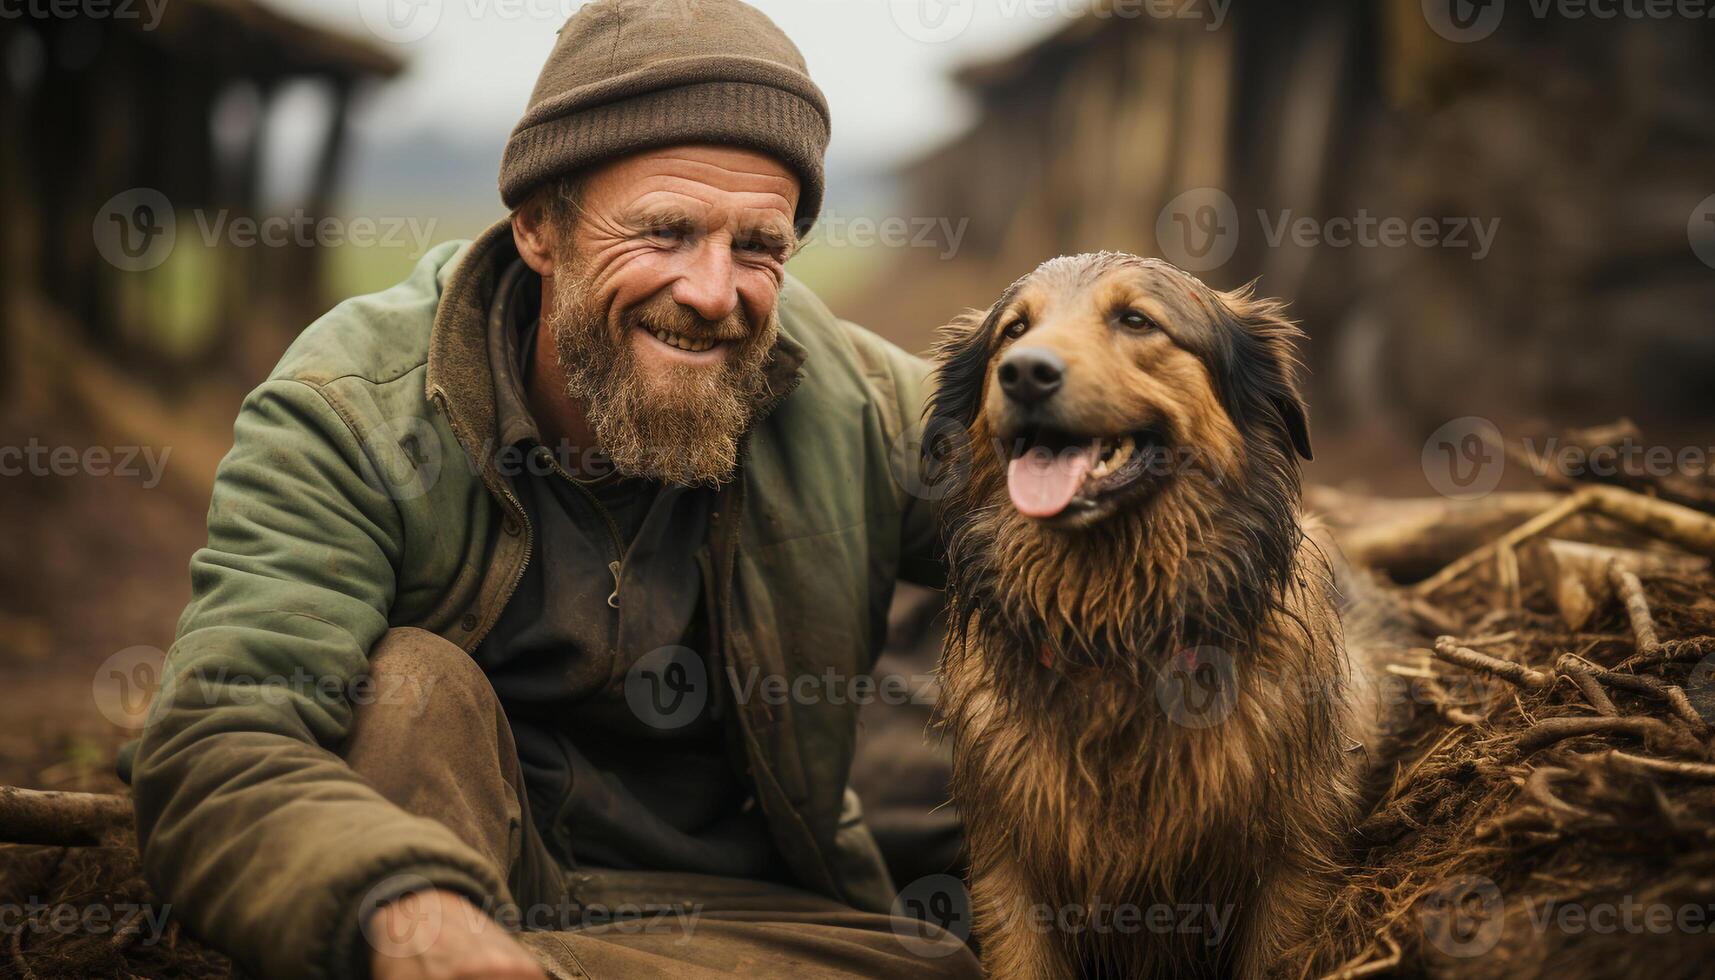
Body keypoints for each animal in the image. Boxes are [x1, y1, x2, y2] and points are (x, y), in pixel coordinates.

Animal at [932, 255, 1385, 980]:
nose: (1024, 372)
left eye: (1136, 320)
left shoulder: (1294, 862)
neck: (1113, 634)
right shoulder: (1010, 870)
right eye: (1014, 330)